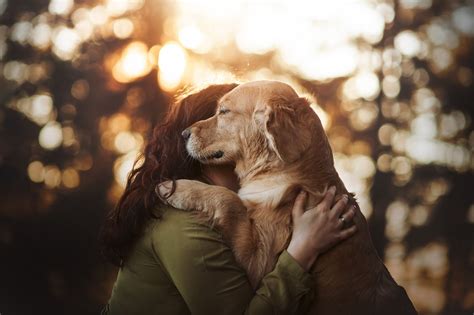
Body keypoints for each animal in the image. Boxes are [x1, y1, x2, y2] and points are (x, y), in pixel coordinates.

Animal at [157, 80, 416, 314]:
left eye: (224, 111)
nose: (184, 133)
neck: (287, 173)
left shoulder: (259, 261)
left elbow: (230, 199)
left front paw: (177, 188)